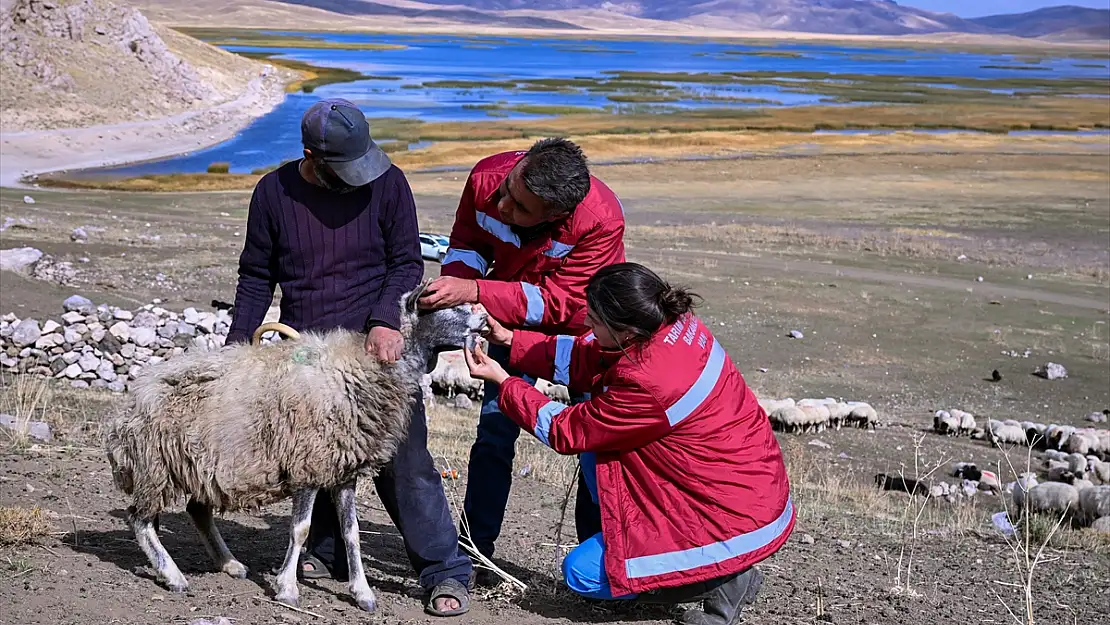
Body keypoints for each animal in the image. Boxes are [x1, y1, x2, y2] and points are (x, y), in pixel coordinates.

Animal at [103, 286, 486, 612]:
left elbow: (352, 533)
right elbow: (300, 529)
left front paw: (362, 593)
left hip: (202, 465)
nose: (483, 319)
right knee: (140, 520)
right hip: (154, 465)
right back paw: (174, 576)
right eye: (447, 305)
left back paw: (230, 564)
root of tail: (137, 391)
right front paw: (287, 588)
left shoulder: (342, 470)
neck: (364, 368)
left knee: (197, 511)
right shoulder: (309, 463)